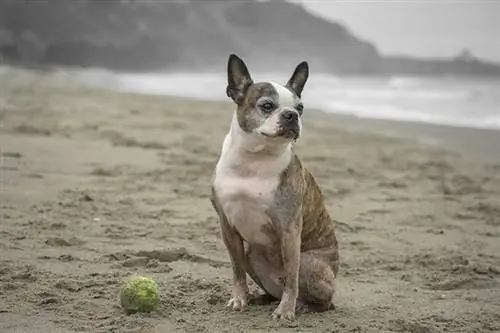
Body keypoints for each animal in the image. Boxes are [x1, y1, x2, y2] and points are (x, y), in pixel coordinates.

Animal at [209, 53, 338, 320]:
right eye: (267, 106)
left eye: (300, 108)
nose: (292, 115)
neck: (254, 159)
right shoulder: (227, 226)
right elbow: (237, 270)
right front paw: (239, 298)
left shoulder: (289, 229)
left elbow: (291, 278)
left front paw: (285, 311)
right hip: (252, 254)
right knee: (270, 287)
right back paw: (260, 298)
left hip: (308, 262)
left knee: (319, 298)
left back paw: (301, 306)